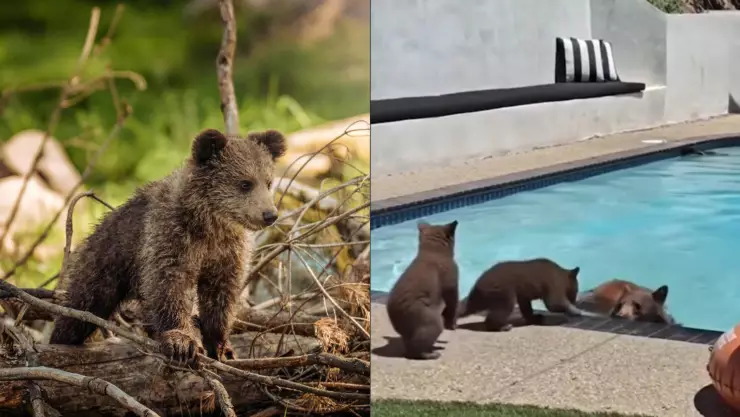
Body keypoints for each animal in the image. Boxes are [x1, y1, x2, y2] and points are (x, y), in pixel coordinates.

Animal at [49, 128, 287, 364]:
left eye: (268, 182)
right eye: (245, 183)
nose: (269, 215)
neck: (210, 224)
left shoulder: (226, 252)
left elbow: (220, 294)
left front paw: (221, 347)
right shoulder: (171, 238)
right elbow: (169, 285)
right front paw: (182, 342)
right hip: (105, 262)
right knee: (81, 307)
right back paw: (61, 339)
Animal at [386, 220, 459, 360]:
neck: (433, 250)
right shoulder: (451, 283)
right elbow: (452, 303)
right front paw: (452, 324)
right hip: (428, 318)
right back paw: (429, 353)